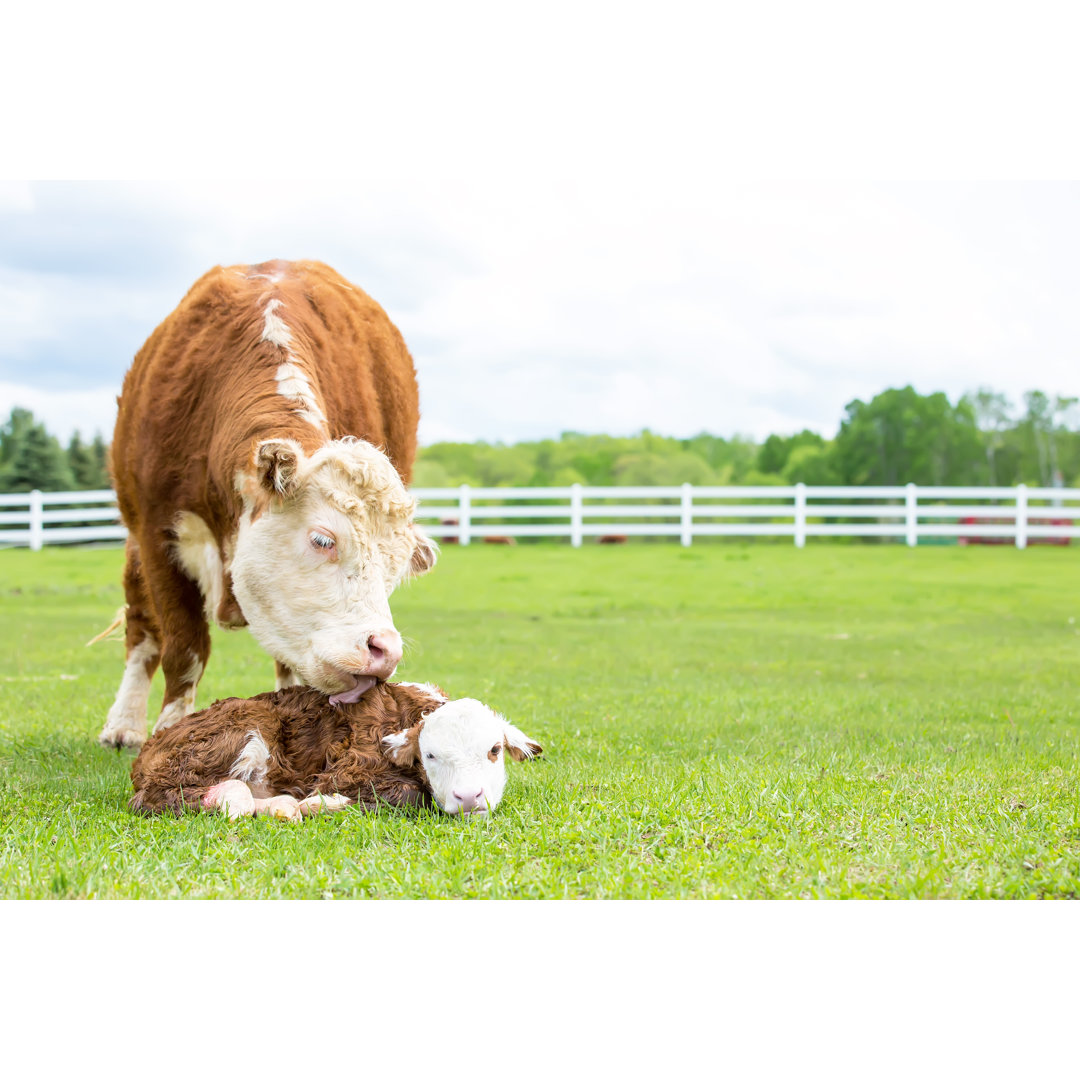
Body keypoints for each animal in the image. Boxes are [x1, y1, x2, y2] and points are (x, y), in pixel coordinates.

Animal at [97, 261, 434, 751]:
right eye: (322, 540)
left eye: (395, 567)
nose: (383, 651)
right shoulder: (158, 535)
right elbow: (183, 646)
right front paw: (171, 727)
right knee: (143, 628)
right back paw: (123, 724)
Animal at [129, 678, 544, 820]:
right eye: (430, 755)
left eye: (494, 750)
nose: (469, 796)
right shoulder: (347, 771)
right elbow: (408, 794)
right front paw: (321, 804)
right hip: (244, 726)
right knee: (163, 796)